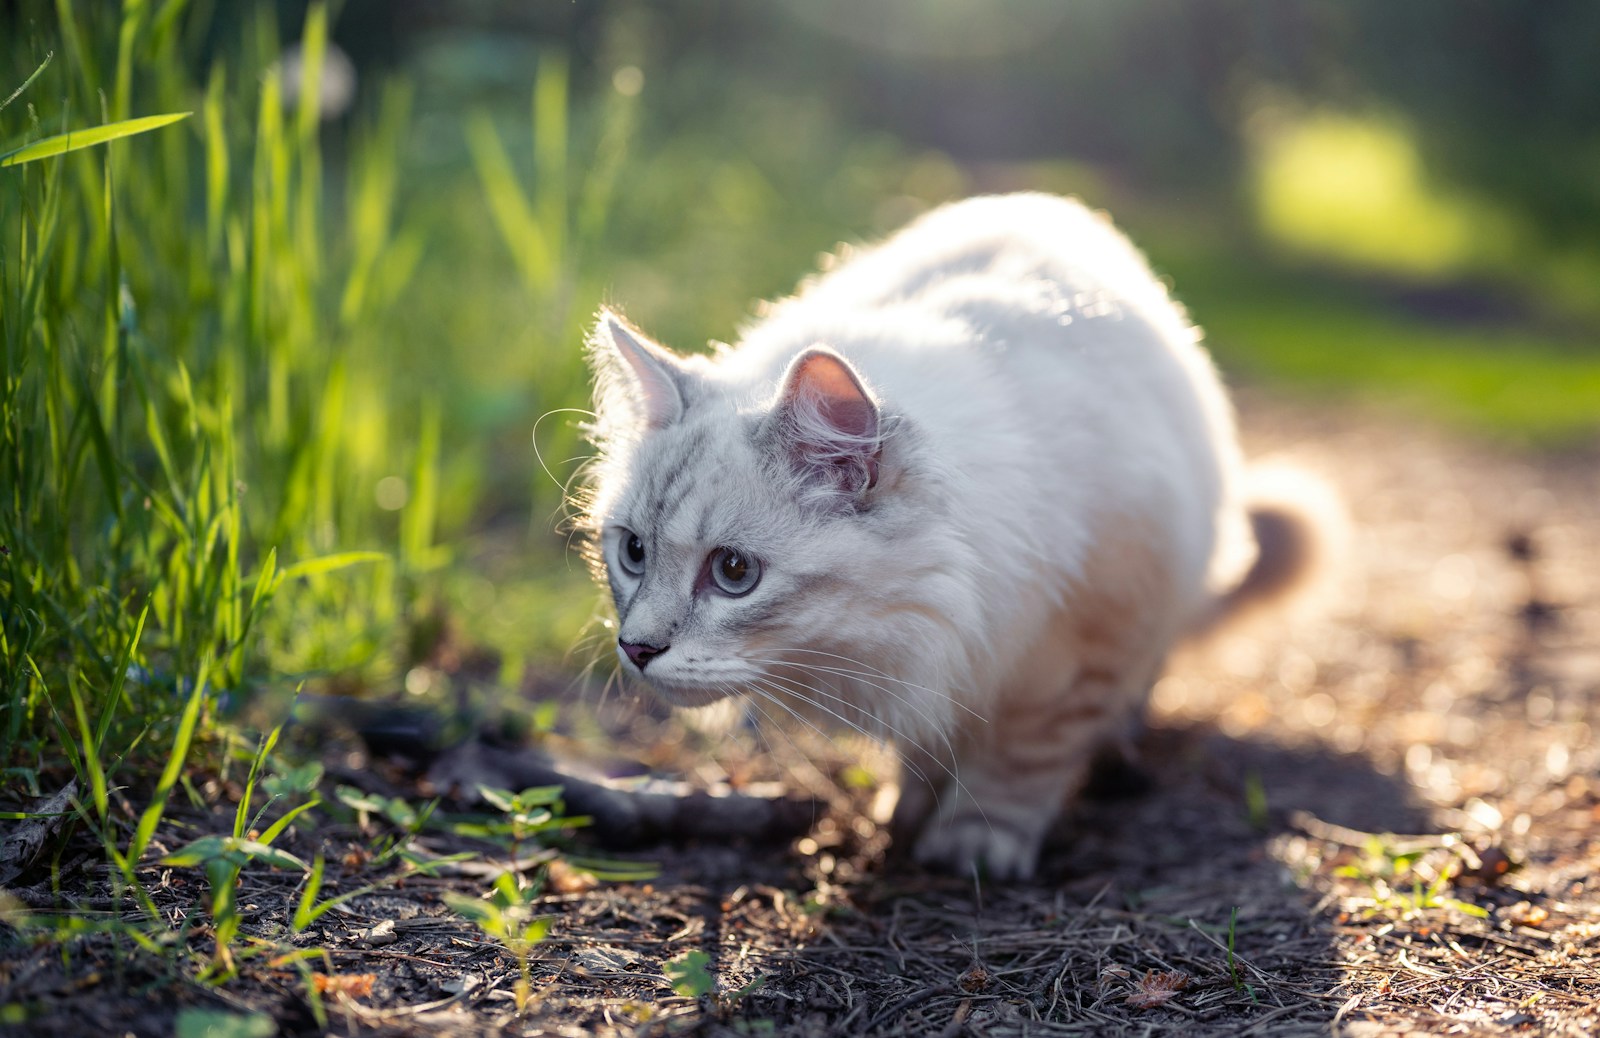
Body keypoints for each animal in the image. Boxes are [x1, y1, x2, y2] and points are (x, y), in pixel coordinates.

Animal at [576, 191, 1324, 876]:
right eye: (633, 553)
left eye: (734, 572)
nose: (637, 649)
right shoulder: (939, 658)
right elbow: (931, 747)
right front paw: (907, 814)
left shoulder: (1082, 646)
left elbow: (1022, 760)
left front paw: (974, 844)